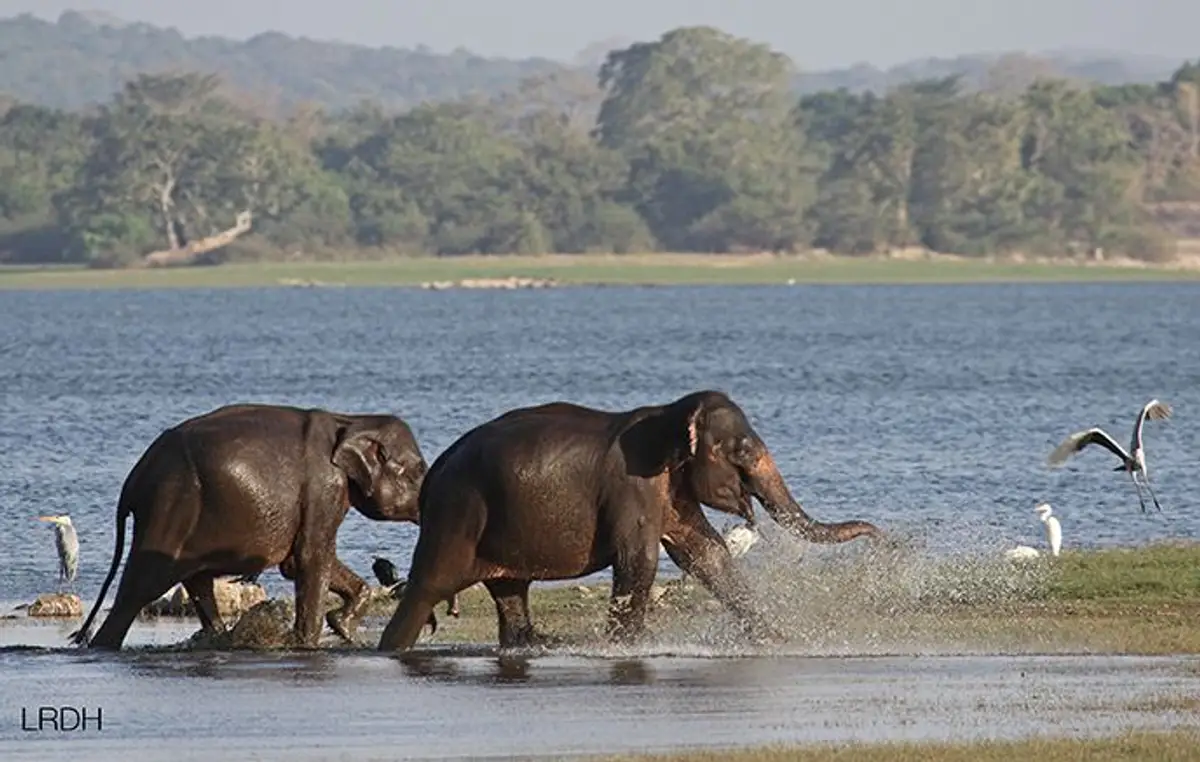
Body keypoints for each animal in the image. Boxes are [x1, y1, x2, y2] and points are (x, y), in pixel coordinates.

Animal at [70, 403, 429, 650]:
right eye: (417, 472)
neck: (351, 421)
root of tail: (133, 480)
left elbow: (297, 562)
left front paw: (341, 626)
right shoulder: (323, 487)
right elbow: (311, 558)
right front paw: (307, 644)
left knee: (197, 581)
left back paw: (219, 639)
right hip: (170, 508)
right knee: (140, 589)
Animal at [378, 390, 882, 652]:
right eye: (741, 452)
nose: (880, 537)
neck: (670, 415)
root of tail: (434, 472)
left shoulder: (671, 489)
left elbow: (707, 555)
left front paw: (776, 640)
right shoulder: (632, 485)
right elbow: (638, 561)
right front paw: (628, 647)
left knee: (510, 592)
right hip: (457, 516)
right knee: (428, 588)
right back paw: (391, 649)